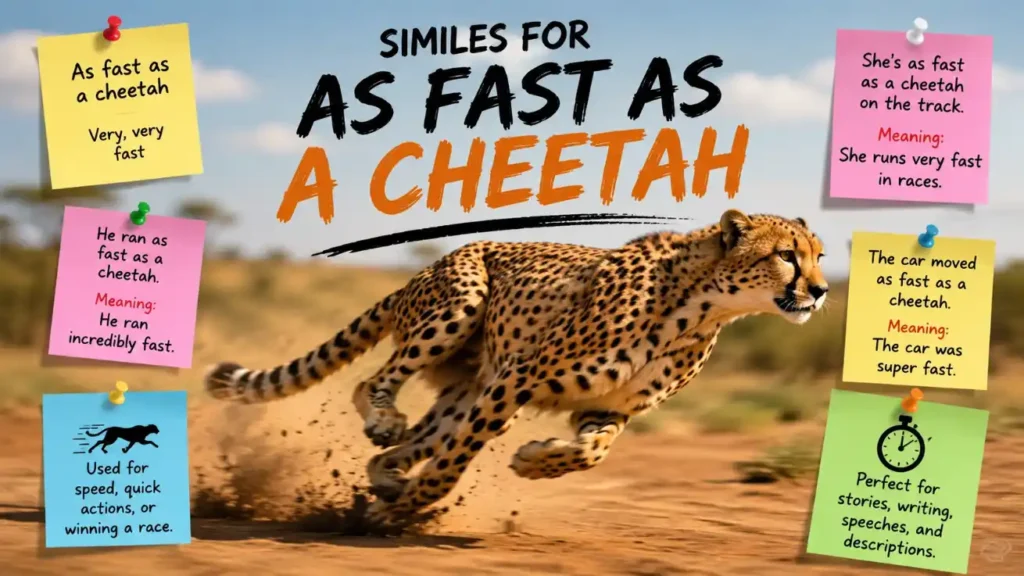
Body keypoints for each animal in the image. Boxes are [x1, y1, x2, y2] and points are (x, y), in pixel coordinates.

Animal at [203, 209, 828, 525]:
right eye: (786, 255)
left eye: (820, 255)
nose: (821, 291)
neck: (701, 307)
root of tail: (435, 261)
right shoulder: (518, 379)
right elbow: (454, 465)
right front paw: (413, 505)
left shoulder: (606, 408)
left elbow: (590, 453)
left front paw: (532, 461)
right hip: (460, 306)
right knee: (372, 383)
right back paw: (384, 430)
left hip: (465, 390)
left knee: (403, 444)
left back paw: (385, 478)